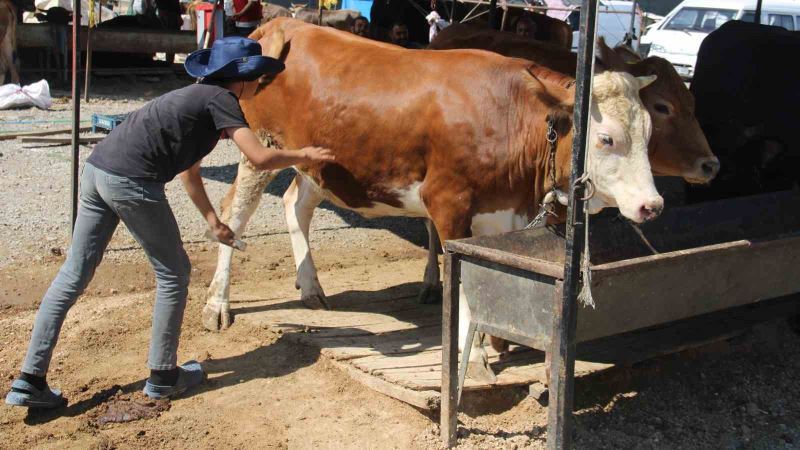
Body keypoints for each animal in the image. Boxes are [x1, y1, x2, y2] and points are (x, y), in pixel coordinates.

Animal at [202, 19, 664, 382]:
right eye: (606, 139)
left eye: (649, 132)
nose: (652, 205)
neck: (509, 116)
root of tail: (281, 25)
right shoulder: (447, 202)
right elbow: (459, 280)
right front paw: (474, 357)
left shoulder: (503, 212)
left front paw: (496, 341)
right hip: (258, 147)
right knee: (233, 214)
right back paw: (217, 303)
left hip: (317, 161)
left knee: (296, 203)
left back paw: (311, 287)